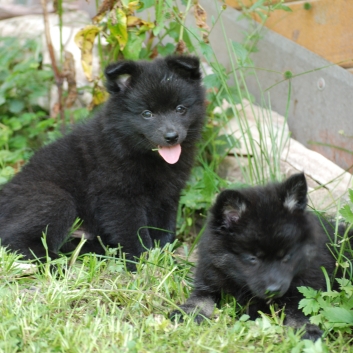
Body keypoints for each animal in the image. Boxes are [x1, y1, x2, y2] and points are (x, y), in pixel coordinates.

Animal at [0, 55, 205, 266]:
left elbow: (165, 230)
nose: (171, 136)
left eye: (180, 109)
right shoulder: (118, 197)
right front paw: (143, 263)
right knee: (15, 240)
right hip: (53, 199)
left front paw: (165, 259)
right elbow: (134, 233)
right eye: (147, 113)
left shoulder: (168, 195)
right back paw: (58, 265)